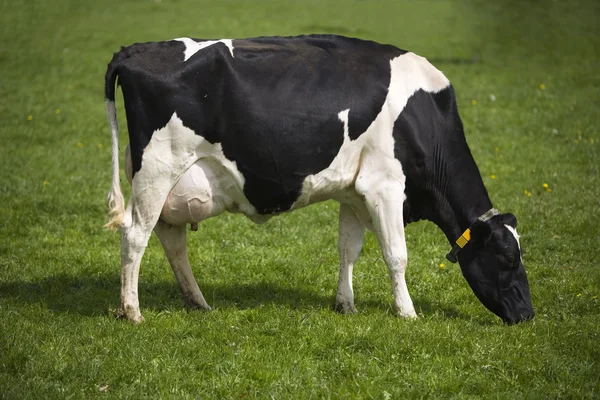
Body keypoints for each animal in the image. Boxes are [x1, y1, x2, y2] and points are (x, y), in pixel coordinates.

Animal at [103, 32, 536, 324]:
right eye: (506, 258)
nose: (528, 314)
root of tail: (135, 50)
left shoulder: (354, 192)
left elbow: (348, 249)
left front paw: (345, 304)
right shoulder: (384, 185)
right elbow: (396, 255)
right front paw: (407, 312)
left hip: (166, 180)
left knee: (171, 239)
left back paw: (198, 303)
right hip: (158, 168)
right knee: (135, 235)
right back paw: (132, 311)